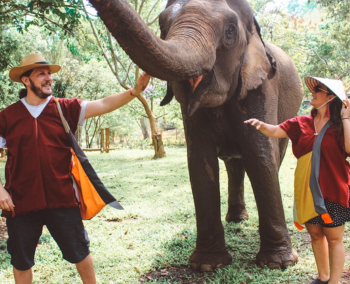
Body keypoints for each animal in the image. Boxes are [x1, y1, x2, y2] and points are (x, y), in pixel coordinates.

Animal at [88, 0, 304, 272]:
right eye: (162, 25)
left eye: (230, 31)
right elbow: (201, 162)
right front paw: (208, 265)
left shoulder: (262, 89)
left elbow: (261, 157)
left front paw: (277, 264)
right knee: (234, 165)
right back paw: (236, 220)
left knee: (272, 157)